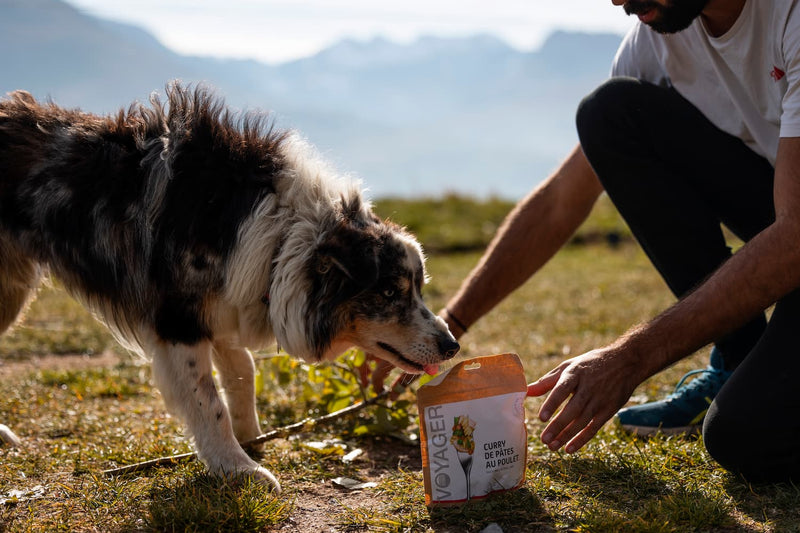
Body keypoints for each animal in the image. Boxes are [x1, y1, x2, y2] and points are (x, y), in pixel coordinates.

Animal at [0, 84, 460, 490]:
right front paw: (238, 469)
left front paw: (251, 437)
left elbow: (243, 371)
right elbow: (208, 401)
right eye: (389, 292)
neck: (282, 238)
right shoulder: (178, 321)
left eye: (418, 289)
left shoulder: (227, 300)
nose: (452, 346)